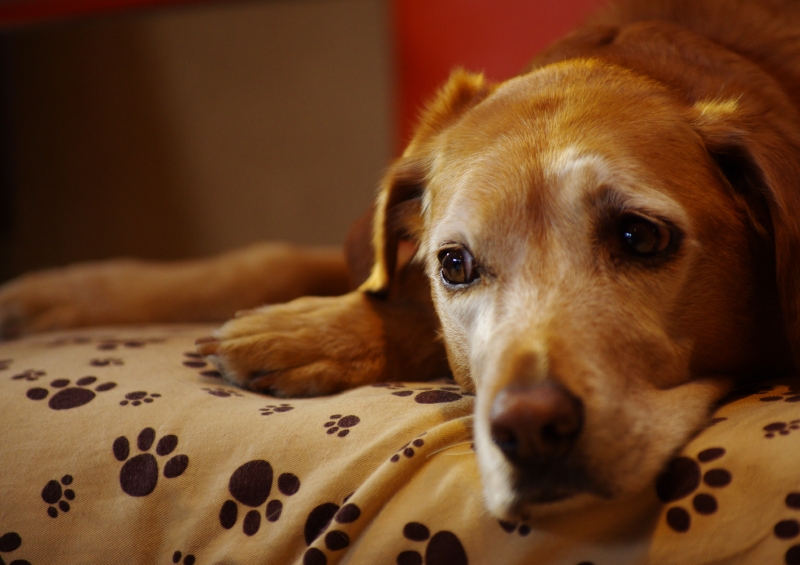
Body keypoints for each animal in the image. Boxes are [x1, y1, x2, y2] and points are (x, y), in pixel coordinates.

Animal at [2, 0, 800, 521]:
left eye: (640, 237)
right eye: (455, 264)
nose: (528, 429)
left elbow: (400, 309)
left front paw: (301, 335)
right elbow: (285, 258)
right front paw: (53, 293)